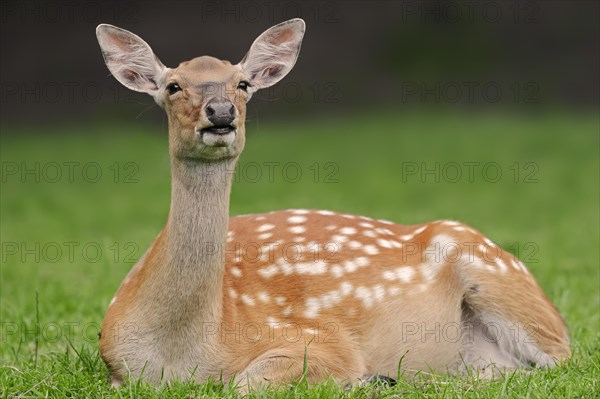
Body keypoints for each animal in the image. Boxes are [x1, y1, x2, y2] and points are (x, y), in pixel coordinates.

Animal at [96, 19, 568, 394]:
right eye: (173, 86)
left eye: (243, 83)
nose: (221, 111)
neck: (185, 353)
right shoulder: (113, 363)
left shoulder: (320, 337)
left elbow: (247, 384)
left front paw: (362, 379)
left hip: (503, 281)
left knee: (558, 361)